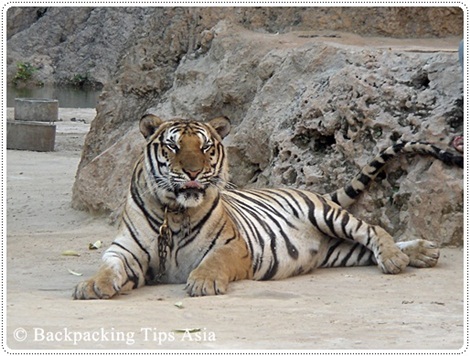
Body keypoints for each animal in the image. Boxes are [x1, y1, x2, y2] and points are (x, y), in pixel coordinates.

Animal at [72, 114, 462, 298]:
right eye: (172, 146)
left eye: (205, 147)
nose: (194, 171)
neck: (175, 210)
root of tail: (315, 192)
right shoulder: (126, 250)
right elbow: (109, 266)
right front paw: (92, 285)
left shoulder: (232, 246)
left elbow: (212, 262)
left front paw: (203, 282)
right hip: (338, 250)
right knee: (367, 246)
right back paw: (423, 252)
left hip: (328, 216)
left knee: (373, 230)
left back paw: (398, 258)